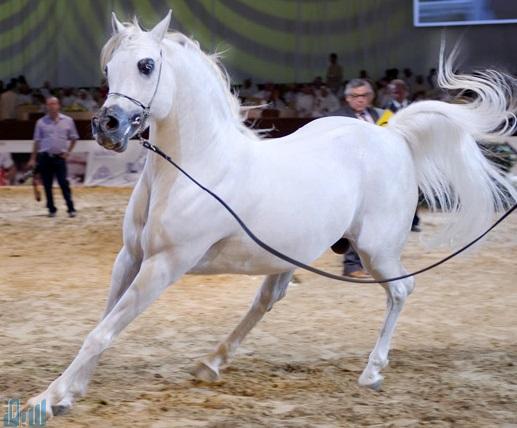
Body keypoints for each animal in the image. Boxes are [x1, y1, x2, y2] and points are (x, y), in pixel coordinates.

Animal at [27, 10, 516, 418]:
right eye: (108, 69)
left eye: (146, 65)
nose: (106, 127)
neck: (198, 168)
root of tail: (391, 136)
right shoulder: (129, 257)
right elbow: (102, 323)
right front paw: (70, 392)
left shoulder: (163, 266)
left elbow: (103, 331)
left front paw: (48, 399)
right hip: (289, 252)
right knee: (269, 298)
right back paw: (212, 362)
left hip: (376, 249)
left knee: (400, 290)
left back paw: (372, 372)